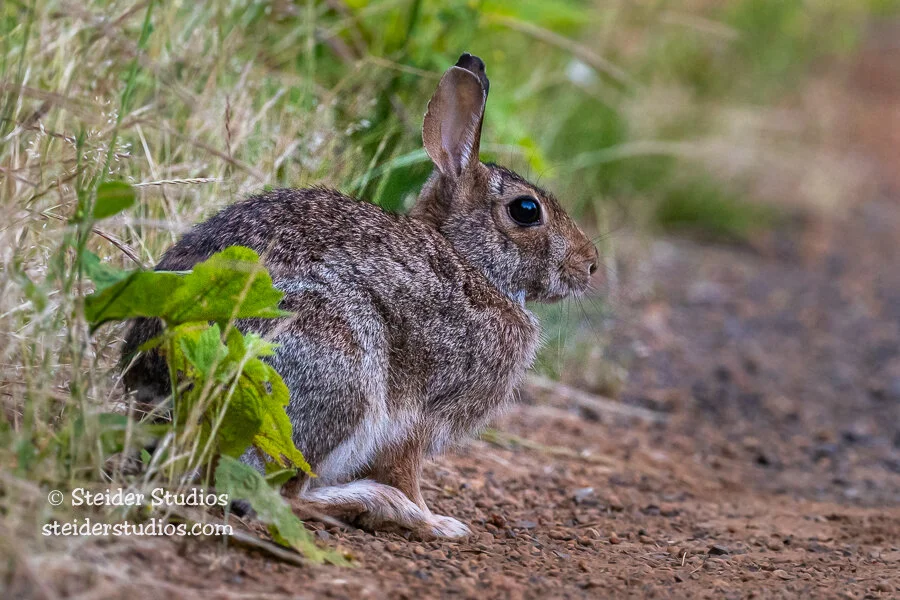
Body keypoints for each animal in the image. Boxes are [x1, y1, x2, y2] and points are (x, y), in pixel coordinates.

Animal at [121, 53, 599, 539]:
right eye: (526, 210)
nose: (591, 264)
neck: (470, 261)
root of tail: (161, 392)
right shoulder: (419, 420)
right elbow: (408, 474)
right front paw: (439, 523)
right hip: (337, 376)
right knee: (278, 495)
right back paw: (382, 505)